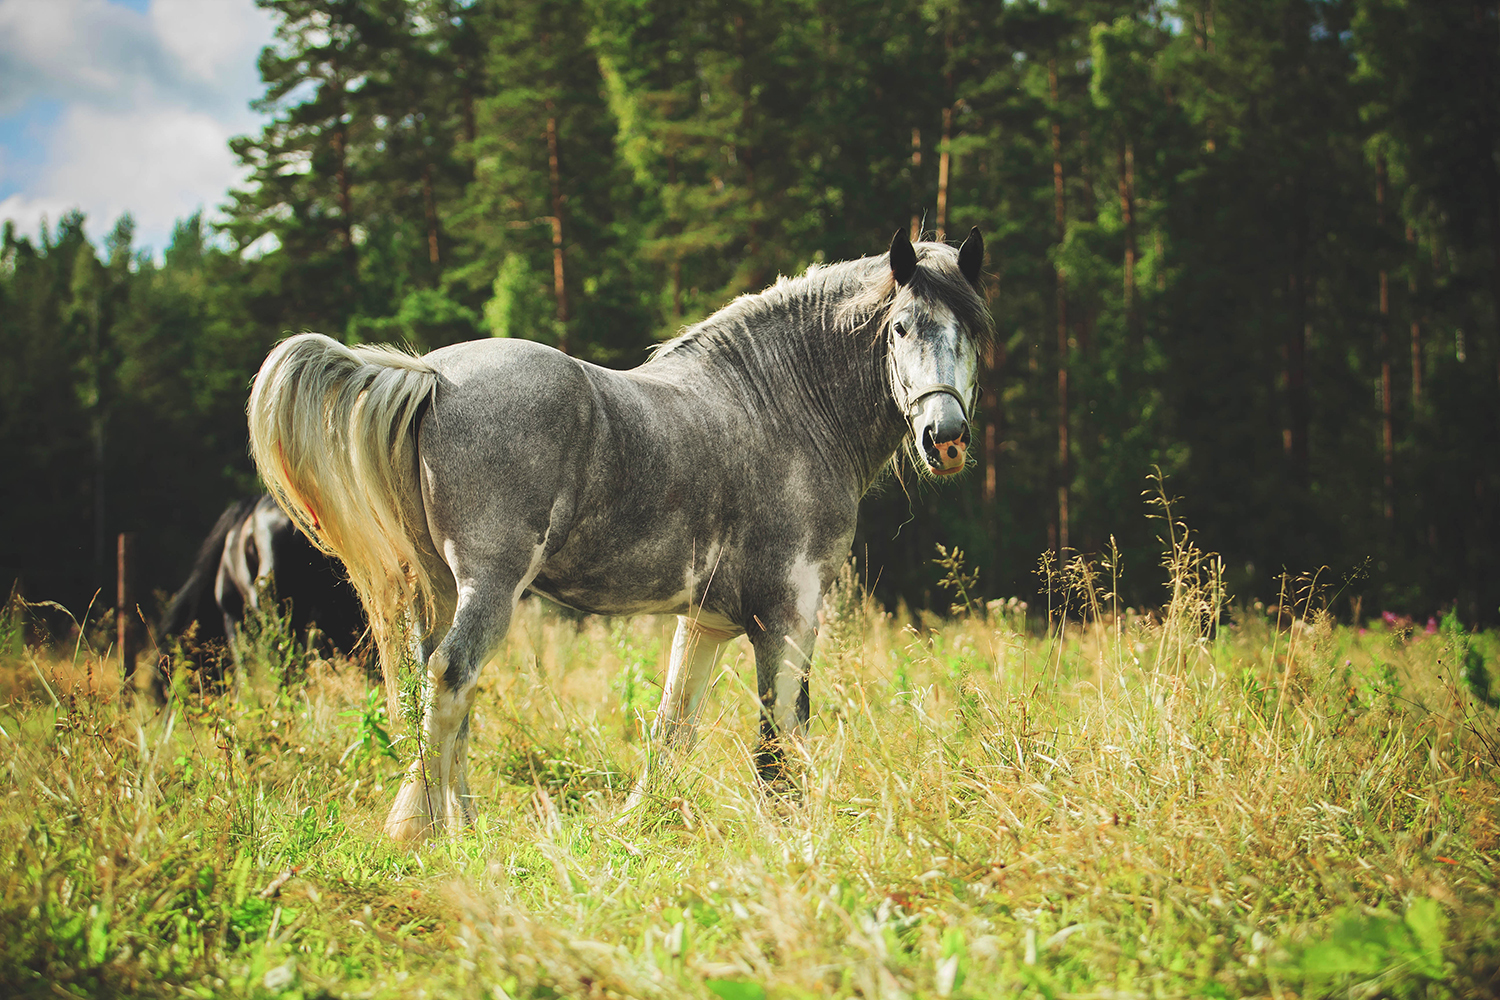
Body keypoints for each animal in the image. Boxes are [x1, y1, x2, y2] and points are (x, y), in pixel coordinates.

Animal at [250, 224, 990, 839]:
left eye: (974, 332)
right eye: (900, 328)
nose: (946, 438)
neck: (783, 408)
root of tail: (432, 376)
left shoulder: (706, 623)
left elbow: (672, 726)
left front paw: (638, 822)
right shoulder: (790, 615)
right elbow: (781, 736)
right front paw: (788, 832)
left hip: (441, 588)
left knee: (436, 689)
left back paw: (448, 822)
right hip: (490, 585)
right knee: (452, 677)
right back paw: (440, 833)